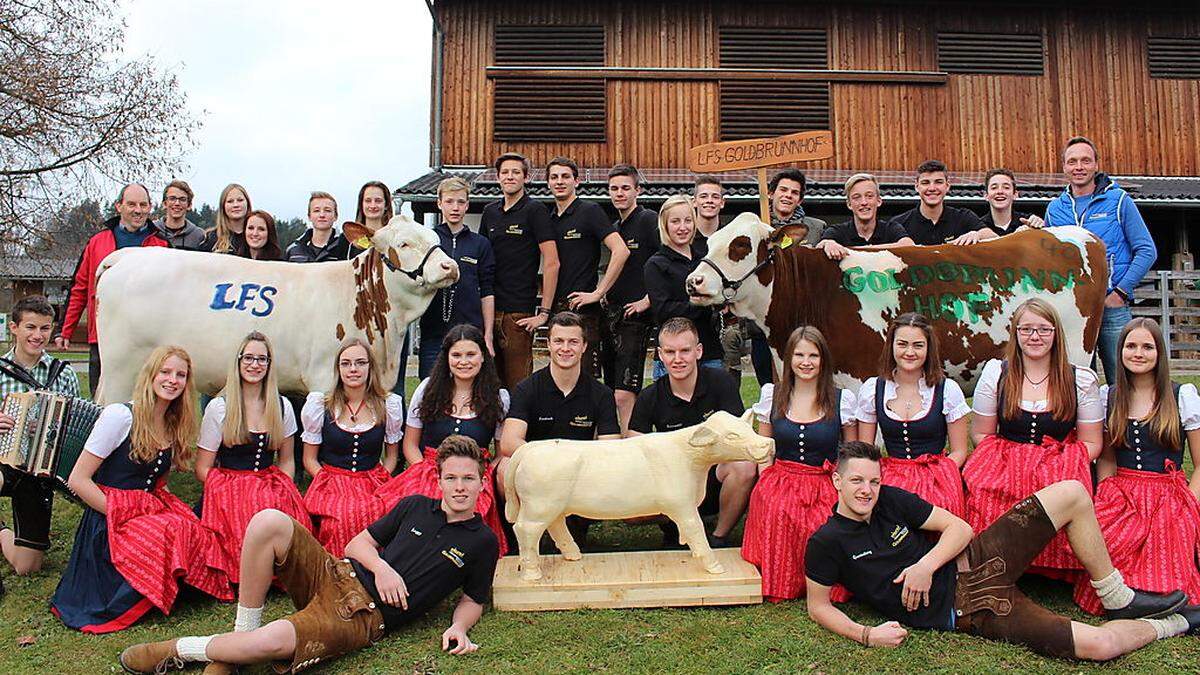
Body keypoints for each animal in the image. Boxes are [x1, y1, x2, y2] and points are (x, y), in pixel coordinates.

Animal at [91, 214, 456, 401]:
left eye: (433, 237)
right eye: (403, 244)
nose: (449, 266)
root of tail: (128, 256)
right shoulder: (324, 377)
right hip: (122, 367)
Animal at [691, 212, 1108, 391]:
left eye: (740, 245)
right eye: (708, 242)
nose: (694, 282)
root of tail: (1078, 235)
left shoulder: (864, 378)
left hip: (1074, 357)